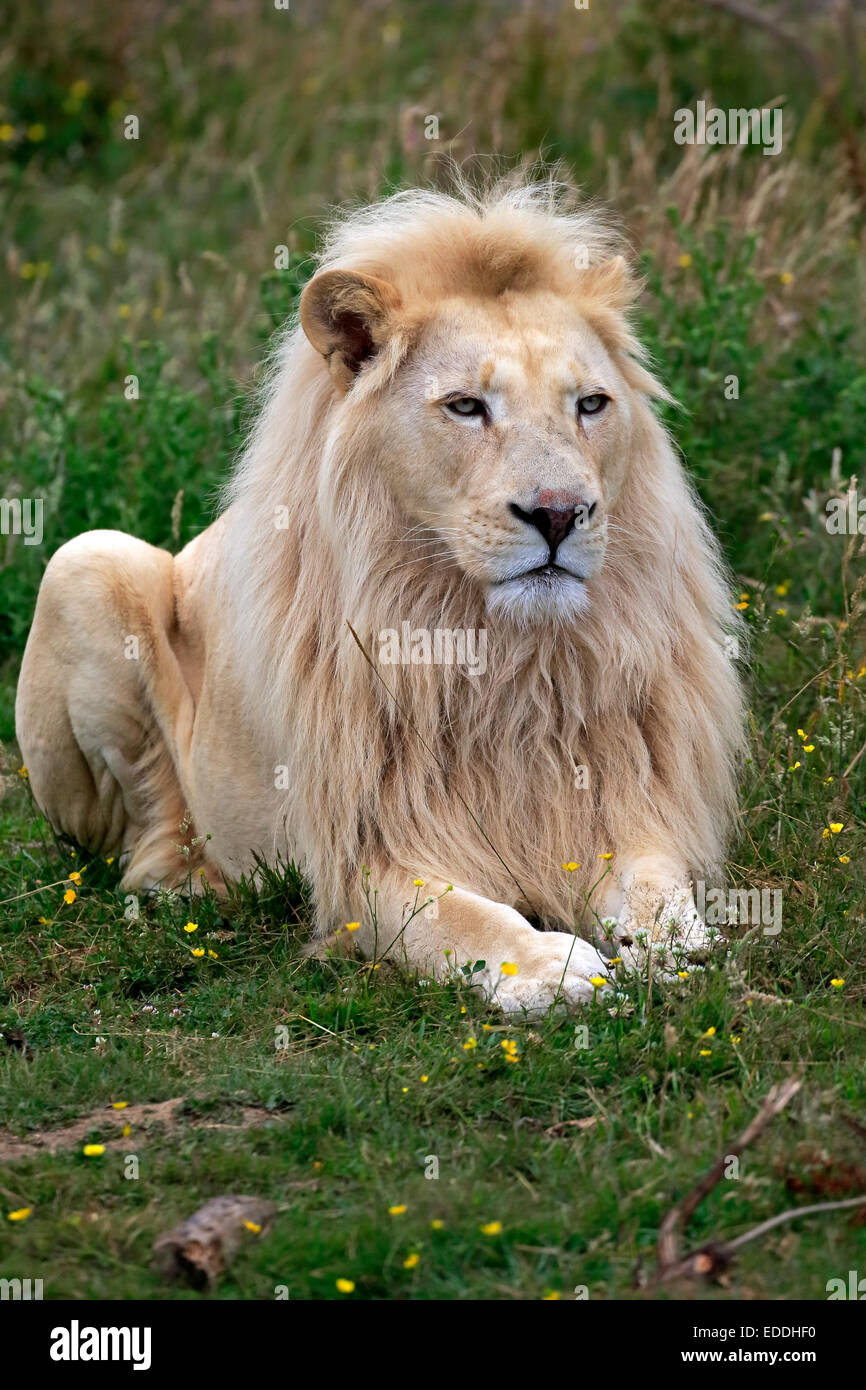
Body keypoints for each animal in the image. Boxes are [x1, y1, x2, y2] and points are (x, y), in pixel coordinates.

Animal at [16, 176, 746, 1014]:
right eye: (466, 406)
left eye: (591, 404)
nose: (561, 514)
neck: (504, 658)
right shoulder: (360, 858)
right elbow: (458, 919)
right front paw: (550, 969)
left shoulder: (628, 802)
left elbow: (659, 887)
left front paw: (679, 945)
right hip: (84, 561)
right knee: (130, 837)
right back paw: (188, 872)